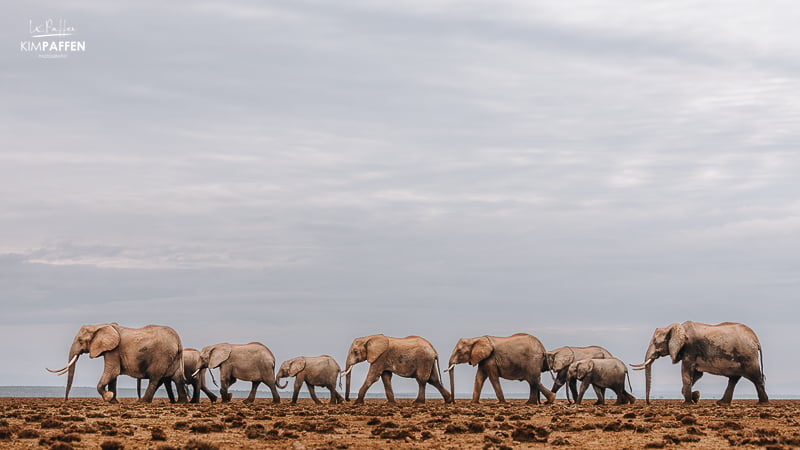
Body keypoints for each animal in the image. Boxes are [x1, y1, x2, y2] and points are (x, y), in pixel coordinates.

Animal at [47, 322, 188, 402]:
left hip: (162, 355)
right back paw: (182, 402)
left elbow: (112, 371)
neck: (99, 326)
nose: (66, 400)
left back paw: (142, 402)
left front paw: (108, 397)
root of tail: (178, 340)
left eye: (81, 340)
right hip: (173, 356)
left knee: (155, 378)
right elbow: (113, 375)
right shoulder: (111, 350)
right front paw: (113, 401)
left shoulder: (113, 350)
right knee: (177, 378)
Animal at [632, 322, 768, 406]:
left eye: (655, 342)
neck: (676, 327)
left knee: (755, 377)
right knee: (734, 379)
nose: (649, 403)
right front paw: (695, 396)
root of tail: (756, 339)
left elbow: (686, 372)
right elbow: (696, 375)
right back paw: (721, 403)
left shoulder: (690, 349)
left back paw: (763, 402)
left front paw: (687, 403)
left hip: (748, 357)